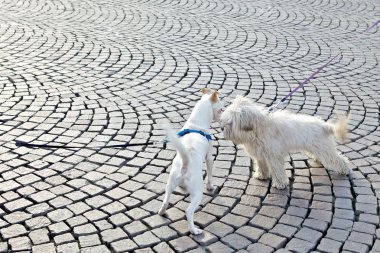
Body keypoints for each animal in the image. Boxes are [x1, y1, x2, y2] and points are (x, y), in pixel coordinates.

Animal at [158, 88, 223, 234]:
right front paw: (211, 187)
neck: (196, 124)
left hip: (169, 185)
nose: (223, 122)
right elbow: (210, 175)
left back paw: (162, 212)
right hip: (197, 193)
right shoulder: (209, 157)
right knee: (188, 211)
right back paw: (194, 230)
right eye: (221, 109)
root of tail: (184, 166)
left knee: (165, 202)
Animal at [220, 96, 350, 189]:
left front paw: (280, 184)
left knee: (338, 159)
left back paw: (345, 170)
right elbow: (262, 166)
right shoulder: (261, 155)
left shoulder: (273, 156)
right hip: (316, 147)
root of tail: (324, 125)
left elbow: (277, 170)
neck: (258, 129)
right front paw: (262, 176)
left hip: (325, 149)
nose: (222, 128)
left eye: (230, 123)